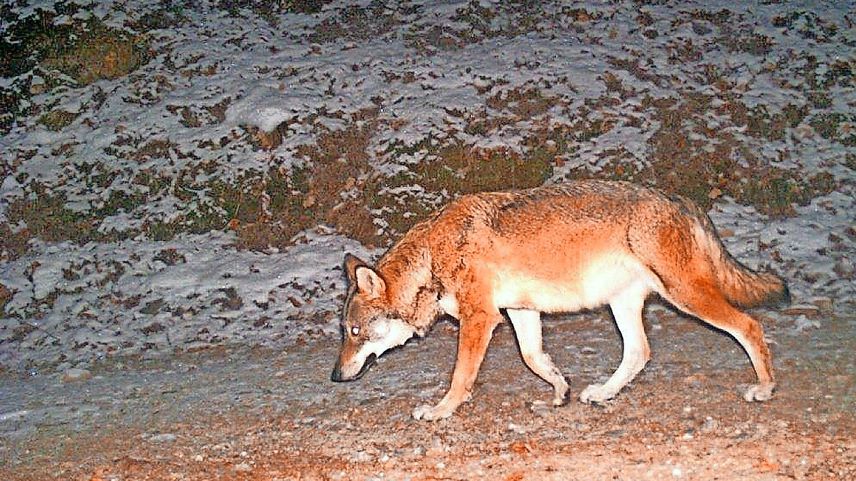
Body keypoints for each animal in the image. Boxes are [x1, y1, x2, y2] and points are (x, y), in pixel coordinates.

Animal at [328, 180, 788, 420]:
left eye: (354, 331)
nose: (334, 376)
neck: (431, 256)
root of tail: (683, 200)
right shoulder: (519, 312)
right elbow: (535, 359)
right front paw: (560, 390)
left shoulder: (480, 319)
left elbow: (460, 377)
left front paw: (441, 410)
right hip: (623, 305)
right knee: (639, 352)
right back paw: (601, 393)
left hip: (686, 296)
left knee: (749, 326)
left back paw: (764, 388)